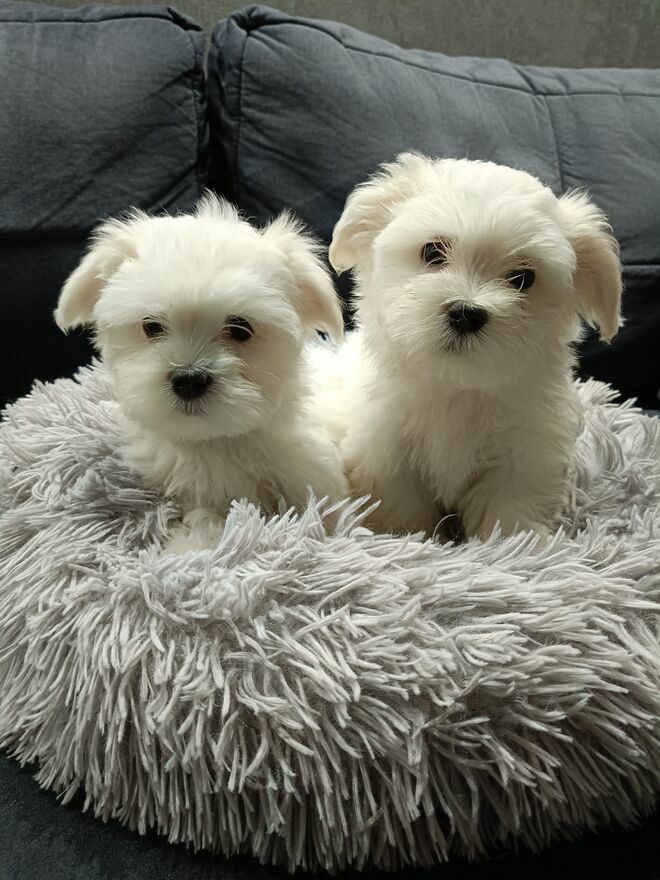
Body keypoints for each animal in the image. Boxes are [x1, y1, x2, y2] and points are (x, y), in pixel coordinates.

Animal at [326, 153, 622, 540]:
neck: (457, 384)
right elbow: (401, 505)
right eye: (432, 251)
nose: (466, 313)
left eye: (523, 278)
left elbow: (509, 506)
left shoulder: (524, 454)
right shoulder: (385, 450)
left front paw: (516, 544)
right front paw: (411, 538)